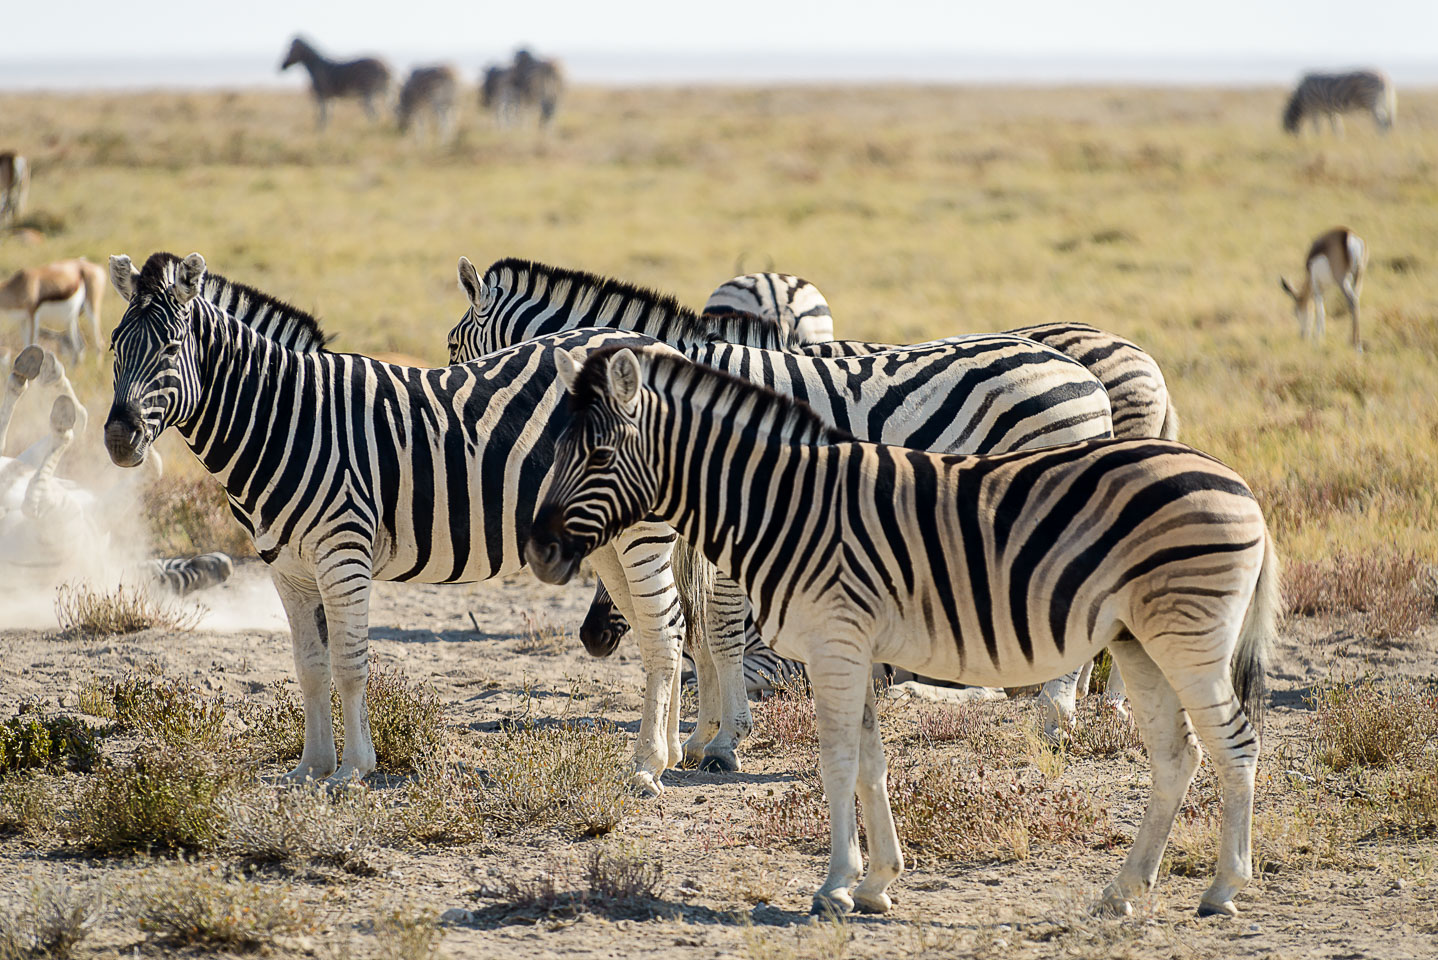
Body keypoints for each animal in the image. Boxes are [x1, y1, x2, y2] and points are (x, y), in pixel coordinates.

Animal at [99, 251, 707, 793]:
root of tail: (656, 345)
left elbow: (349, 664)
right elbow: (310, 666)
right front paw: (309, 767)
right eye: (112, 347)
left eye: (171, 347)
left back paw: (647, 767)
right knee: (667, 626)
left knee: (662, 631)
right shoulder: (287, 568)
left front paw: (351, 770)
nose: (118, 440)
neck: (284, 418)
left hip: (641, 533)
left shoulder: (343, 553)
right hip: (608, 539)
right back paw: (670, 753)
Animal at [442, 254, 1115, 764]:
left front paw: (722, 741)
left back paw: (1054, 717)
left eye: (453, 347)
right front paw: (705, 735)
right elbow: (705, 627)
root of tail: (1084, 374)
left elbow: (717, 624)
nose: (592, 640)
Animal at [529, 346, 1282, 919]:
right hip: (1140, 643)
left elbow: (836, 763)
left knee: (1236, 745)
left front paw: (834, 887)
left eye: (598, 455)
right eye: (557, 449)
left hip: (1190, 642)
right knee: (1178, 755)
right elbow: (870, 765)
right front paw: (876, 882)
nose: (537, 551)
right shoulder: (854, 649)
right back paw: (1122, 892)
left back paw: (1222, 889)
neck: (783, 504)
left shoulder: (834, 644)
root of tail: (1239, 484)